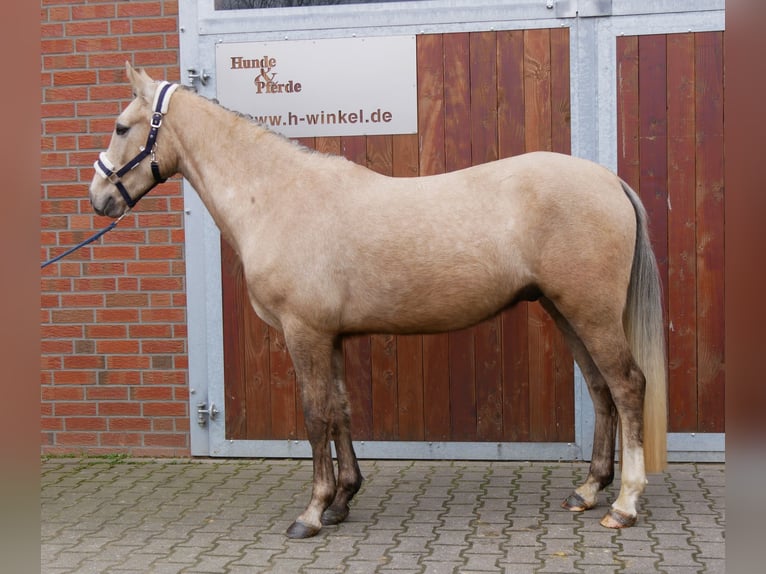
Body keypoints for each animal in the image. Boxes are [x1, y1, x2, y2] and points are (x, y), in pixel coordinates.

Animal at [88, 64, 664, 540]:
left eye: (121, 127)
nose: (99, 199)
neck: (277, 196)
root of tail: (610, 180)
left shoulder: (304, 332)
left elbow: (315, 415)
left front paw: (312, 513)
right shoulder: (332, 337)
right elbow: (341, 411)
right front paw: (343, 500)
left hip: (590, 313)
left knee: (627, 386)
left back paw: (625, 505)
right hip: (566, 311)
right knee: (600, 389)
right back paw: (588, 492)